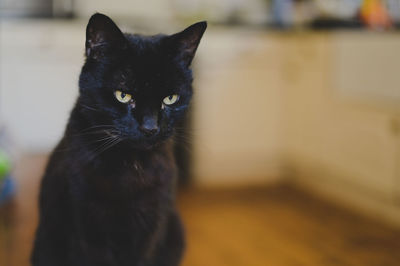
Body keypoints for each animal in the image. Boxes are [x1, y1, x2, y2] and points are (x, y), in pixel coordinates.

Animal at [30, 13, 206, 266]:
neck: (130, 166)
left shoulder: (151, 226)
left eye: (170, 98)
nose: (150, 127)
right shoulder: (87, 225)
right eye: (123, 95)